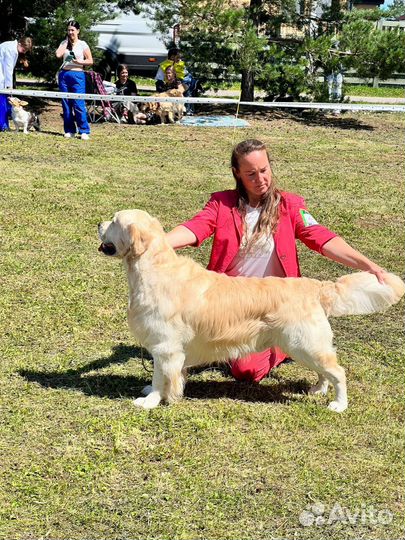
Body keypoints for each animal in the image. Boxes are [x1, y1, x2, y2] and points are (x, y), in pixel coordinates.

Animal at [98, 209, 404, 412]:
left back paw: (338, 404)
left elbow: (160, 377)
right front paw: (154, 391)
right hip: (304, 345)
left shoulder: (165, 346)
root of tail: (314, 286)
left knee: (338, 372)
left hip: (304, 343)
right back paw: (317, 389)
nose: (99, 223)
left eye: (114, 221)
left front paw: (150, 400)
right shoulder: (169, 349)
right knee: (325, 371)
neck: (153, 268)